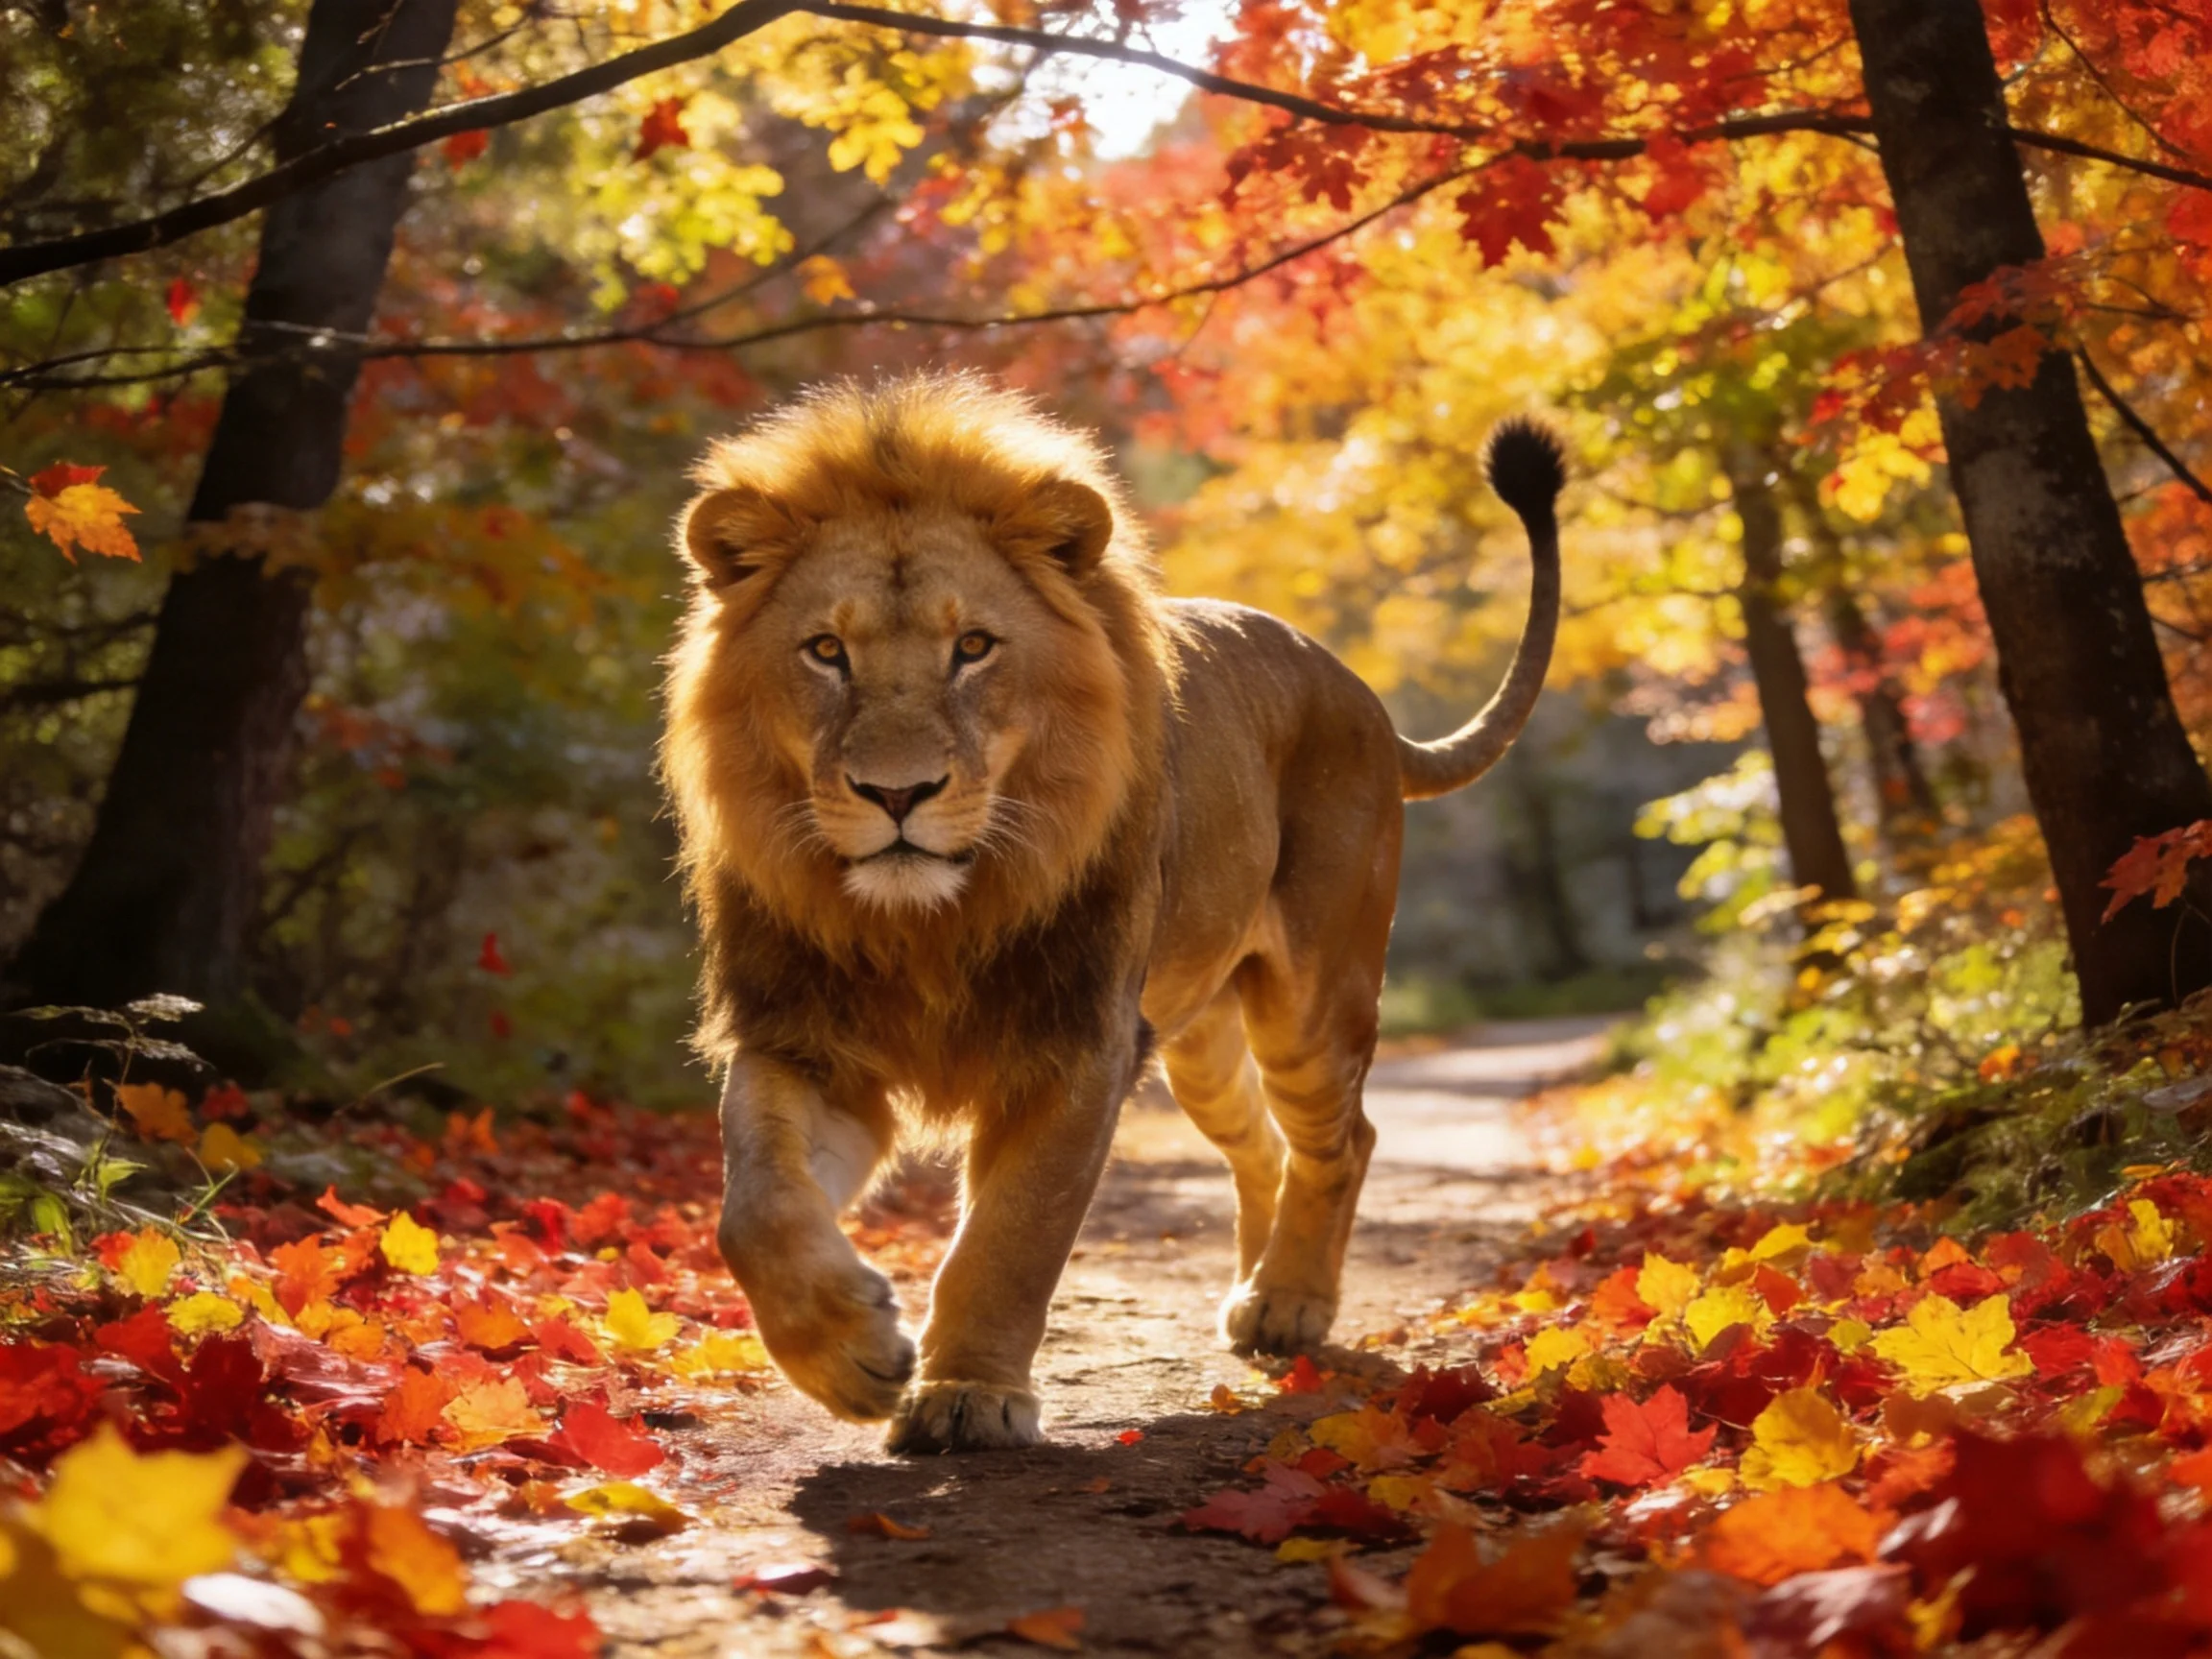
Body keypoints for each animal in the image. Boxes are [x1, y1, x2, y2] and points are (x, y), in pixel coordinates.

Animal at [662, 373, 1562, 1454]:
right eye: (826, 651)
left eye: (974, 648)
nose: (897, 793)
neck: (924, 922)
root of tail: (1365, 698)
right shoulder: (804, 1041)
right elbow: (754, 1206)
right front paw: (851, 1355)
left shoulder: (1077, 1044)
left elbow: (1013, 1235)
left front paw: (968, 1396)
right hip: (1198, 1040)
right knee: (1263, 1145)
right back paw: (1253, 1289)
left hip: (1315, 998)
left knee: (1342, 1140)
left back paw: (1291, 1302)